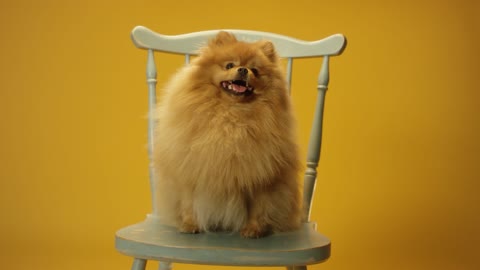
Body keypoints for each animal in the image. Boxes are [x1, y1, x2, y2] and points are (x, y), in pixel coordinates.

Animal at [153, 31, 300, 238]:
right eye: (230, 65)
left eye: (255, 70)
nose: (243, 70)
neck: (231, 116)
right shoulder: (190, 170)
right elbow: (188, 203)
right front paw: (190, 225)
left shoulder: (261, 176)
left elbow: (259, 207)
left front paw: (253, 229)